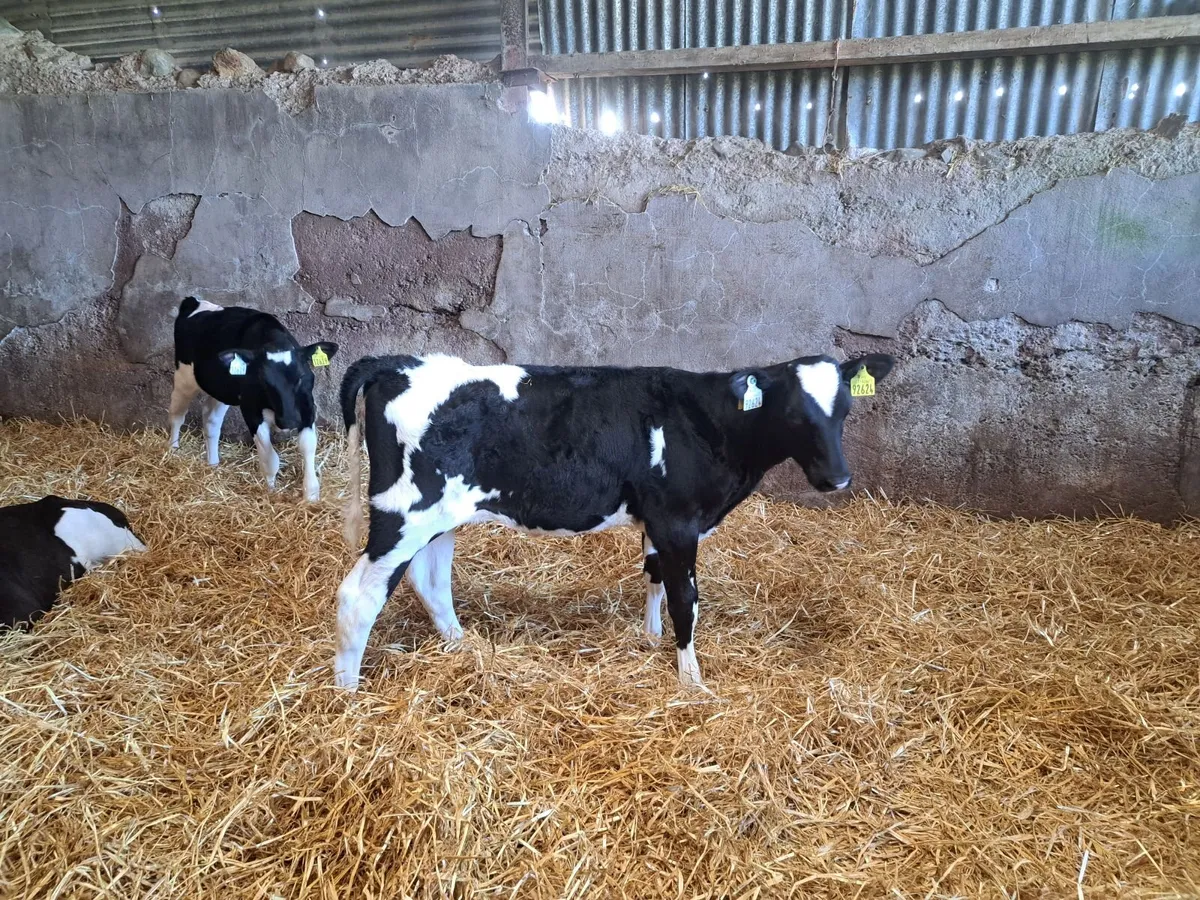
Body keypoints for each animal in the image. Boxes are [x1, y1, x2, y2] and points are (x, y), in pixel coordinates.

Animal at [168, 297, 339, 501]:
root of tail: (194, 301)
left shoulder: (307, 406)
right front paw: (271, 491)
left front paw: (311, 495)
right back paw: (172, 452)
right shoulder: (251, 410)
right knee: (177, 415)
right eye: (263, 381)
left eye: (300, 377)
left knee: (211, 421)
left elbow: (307, 445)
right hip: (184, 377)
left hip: (221, 390)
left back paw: (213, 464)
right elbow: (271, 459)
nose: (289, 421)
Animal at [332, 351, 894, 692]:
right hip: (402, 512)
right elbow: (686, 599)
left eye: (844, 410)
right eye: (795, 414)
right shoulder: (678, 520)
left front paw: (650, 637)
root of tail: (395, 362)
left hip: (439, 515)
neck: (714, 426)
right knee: (359, 596)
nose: (838, 478)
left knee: (430, 580)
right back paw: (349, 691)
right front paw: (691, 678)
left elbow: (654, 577)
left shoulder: (657, 520)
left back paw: (462, 646)